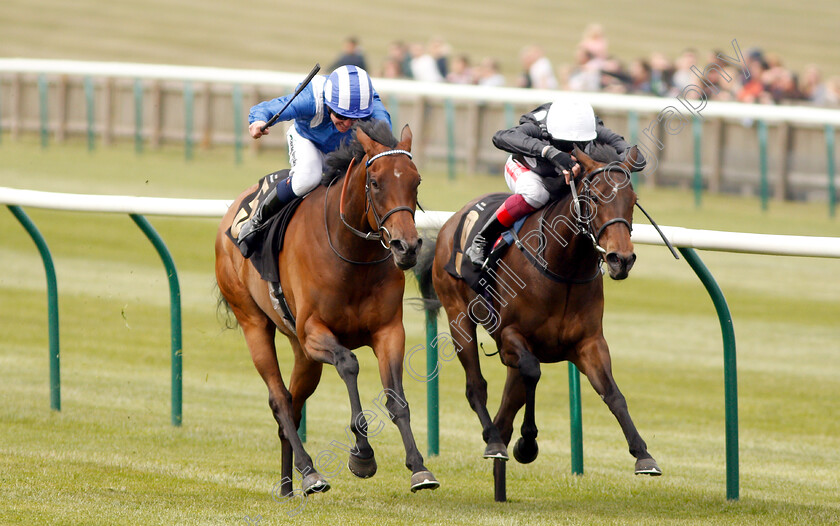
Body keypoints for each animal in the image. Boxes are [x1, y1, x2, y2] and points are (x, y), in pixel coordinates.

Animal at [215, 120, 440, 500]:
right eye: (375, 182)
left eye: (416, 181)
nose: (406, 247)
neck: (352, 256)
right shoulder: (313, 332)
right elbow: (349, 363)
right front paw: (362, 454)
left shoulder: (388, 331)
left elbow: (397, 399)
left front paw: (419, 468)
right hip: (254, 323)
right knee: (279, 400)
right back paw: (309, 472)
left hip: (303, 355)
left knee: (293, 404)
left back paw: (288, 484)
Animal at [416, 143, 660, 478]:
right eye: (596, 198)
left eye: (633, 201)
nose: (620, 259)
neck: (564, 268)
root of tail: (453, 220)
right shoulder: (510, 335)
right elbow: (532, 371)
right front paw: (527, 442)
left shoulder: (589, 343)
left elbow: (613, 393)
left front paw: (642, 453)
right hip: (458, 319)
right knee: (476, 386)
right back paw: (494, 439)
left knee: (507, 404)